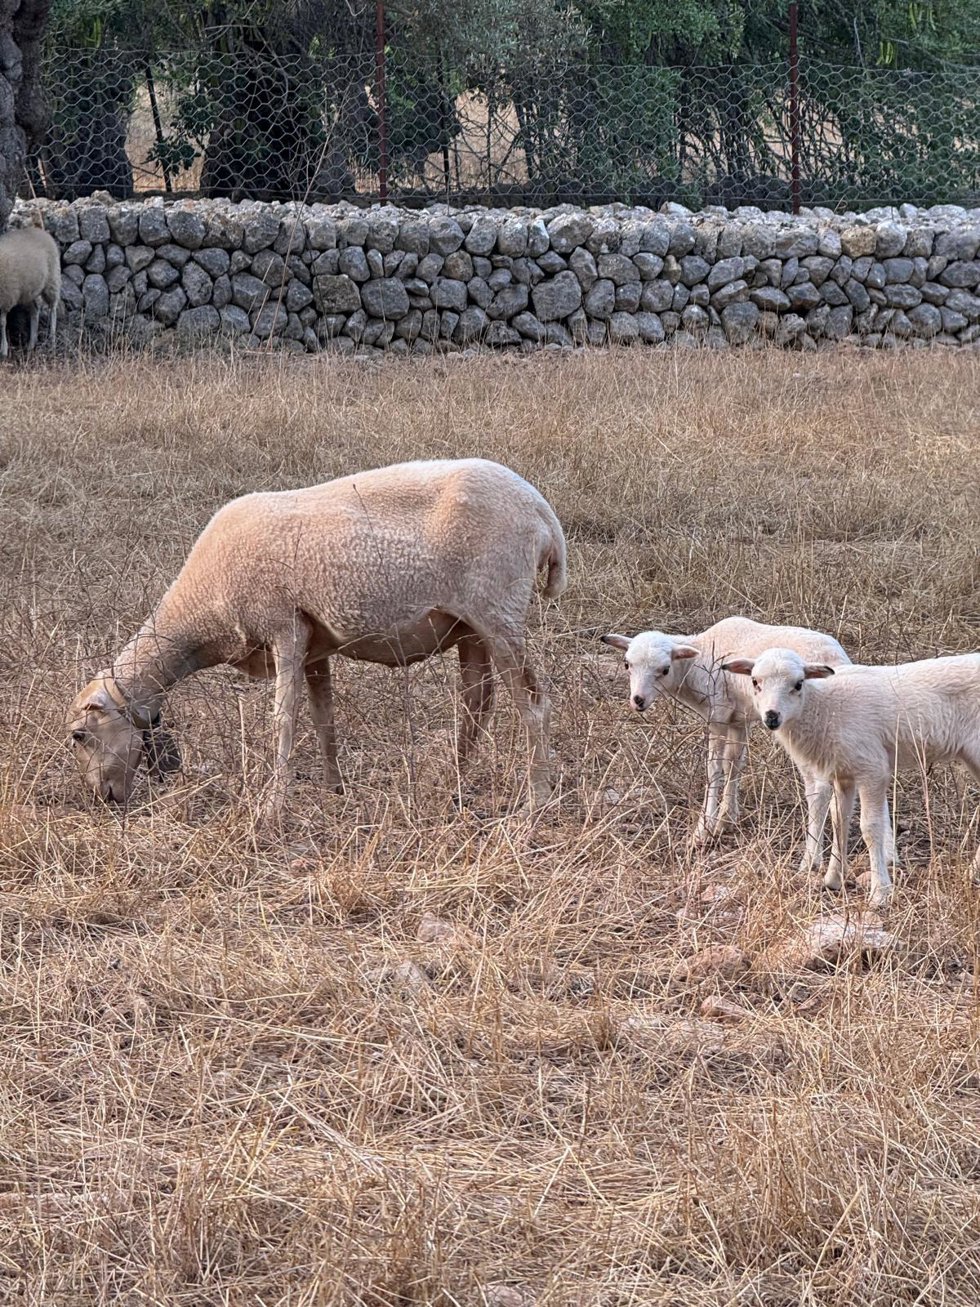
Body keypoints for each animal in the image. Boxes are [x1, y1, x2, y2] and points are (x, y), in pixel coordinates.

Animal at [0, 224, 61, 360]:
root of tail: (39, 230)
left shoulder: (5, 299)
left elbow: (2, 323)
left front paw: (3, 350)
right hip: (28, 291)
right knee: (35, 311)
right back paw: (31, 344)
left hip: (52, 279)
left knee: (53, 308)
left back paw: (52, 340)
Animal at [66, 458, 567, 817]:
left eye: (79, 735)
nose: (103, 799)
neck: (199, 612)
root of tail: (543, 512)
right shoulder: (313, 647)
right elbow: (323, 718)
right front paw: (334, 789)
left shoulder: (284, 629)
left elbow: (283, 720)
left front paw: (272, 807)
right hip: (469, 627)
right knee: (477, 702)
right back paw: (455, 786)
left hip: (498, 612)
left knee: (532, 704)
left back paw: (536, 798)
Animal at [601, 616, 896, 875]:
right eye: (627, 664)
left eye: (664, 669)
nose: (638, 701)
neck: (697, 663)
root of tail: (837, 658)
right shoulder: (738, 720)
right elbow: (734, 764)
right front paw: (727, 817)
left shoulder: (718, 714)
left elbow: (714, 769)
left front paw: (703, 829)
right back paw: (890, 853)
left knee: (820, 789)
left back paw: (813, 859)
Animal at [722, 648, 980, 909]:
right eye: (755, 682)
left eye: (799, 684)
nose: (772, 716)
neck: (823, 708)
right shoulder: (842, 774)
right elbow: (839, 820)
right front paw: (834, 879)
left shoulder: (872, 768)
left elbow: (871, 827)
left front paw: (880, 893)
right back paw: (972, 873)